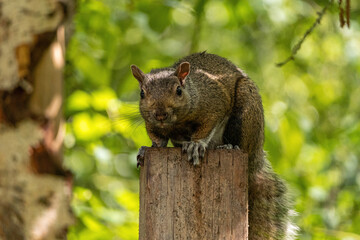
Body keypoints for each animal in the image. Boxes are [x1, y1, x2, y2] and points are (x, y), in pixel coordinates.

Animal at [131, 52, 296, 240]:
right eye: (142, 93)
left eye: (178, 90)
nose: (160, 115)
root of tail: (255, 160)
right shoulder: (151, 125)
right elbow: (158, 140)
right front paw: (146, 149)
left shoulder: (214, 105)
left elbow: (206, 128)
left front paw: (195, 145)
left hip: (246, 111)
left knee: (240, 143)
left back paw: (229, 147)